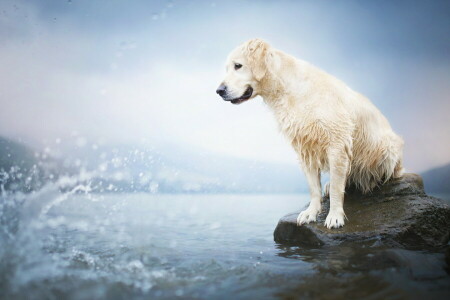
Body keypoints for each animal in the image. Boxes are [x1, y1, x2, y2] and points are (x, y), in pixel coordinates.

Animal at [216, 38, 402, 229]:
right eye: (227, 68)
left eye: (238, 66)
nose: (219, 91)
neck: (288, 90)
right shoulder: (305, 147)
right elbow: (314, 187)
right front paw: (311, 212)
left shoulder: (337, 143)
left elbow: (336, 188)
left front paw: (335, 216)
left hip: (388, 149)